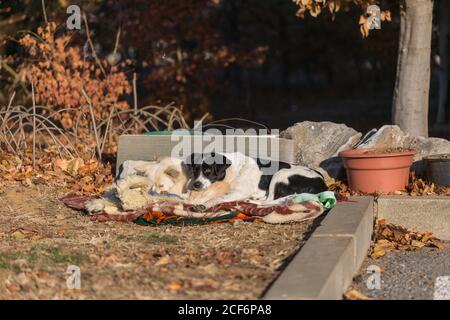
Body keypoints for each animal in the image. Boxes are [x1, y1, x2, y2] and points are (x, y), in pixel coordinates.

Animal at [183, 152, 326, 208]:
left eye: (208, 171)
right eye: (195, 170)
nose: (196, 184)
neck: (234, 170)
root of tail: (323, 185)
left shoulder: (239, 192)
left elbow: (218, 198)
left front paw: (204, 205)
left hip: (281, 173)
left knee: (269, 201)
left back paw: (250, 201)